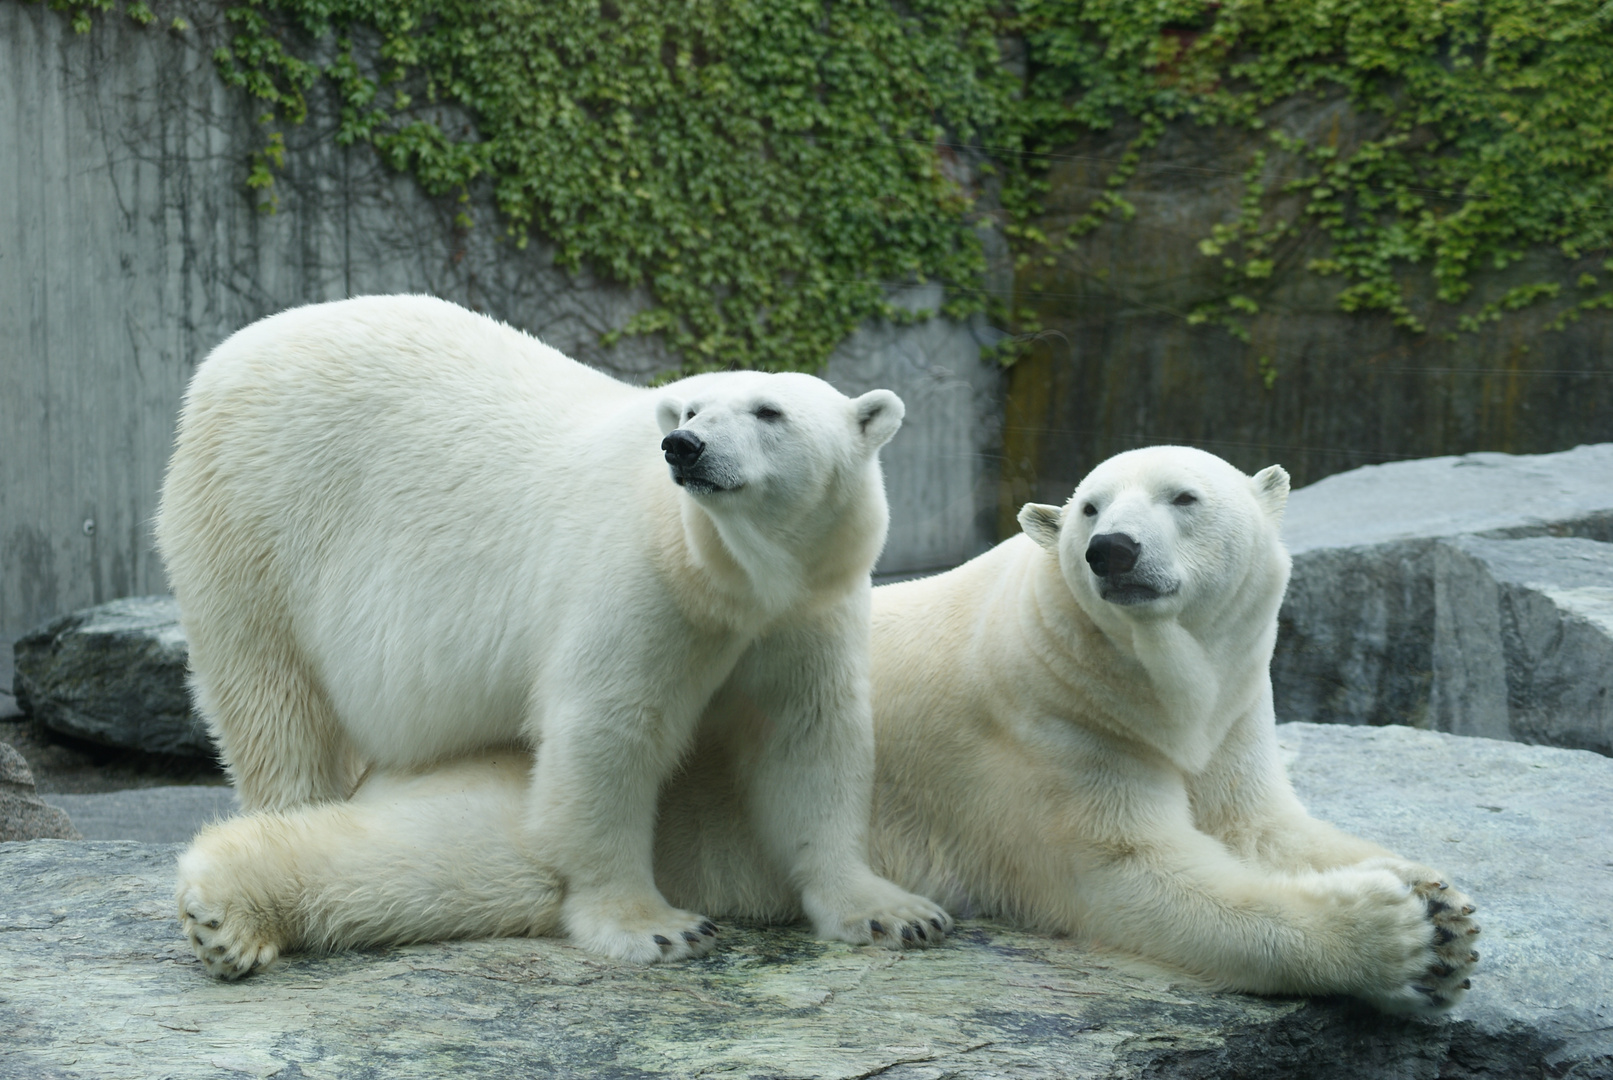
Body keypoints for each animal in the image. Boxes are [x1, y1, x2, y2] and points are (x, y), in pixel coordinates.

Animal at [157, 293, 948, 967]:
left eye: (769, 411)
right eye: (693, 407)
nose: (684, 446)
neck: (731, 579)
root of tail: (227, 354)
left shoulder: (806, 608)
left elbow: (807, 738)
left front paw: (893, 912)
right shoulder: (644, 586)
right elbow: (609, 734)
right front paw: (655, 927)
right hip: (256, 521)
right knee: (273, 703)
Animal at [173, 444, 1477, 1018]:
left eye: (1185, 499)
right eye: (1086, 507)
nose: (1111, 552)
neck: (1138, 684)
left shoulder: (1233, 715)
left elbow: (1265, 824)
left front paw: (1444, 905)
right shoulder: (1048, 739)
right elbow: (1139, 875)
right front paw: (1387, 935)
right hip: (570, 775)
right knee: (442, 860)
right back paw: (227, 909)